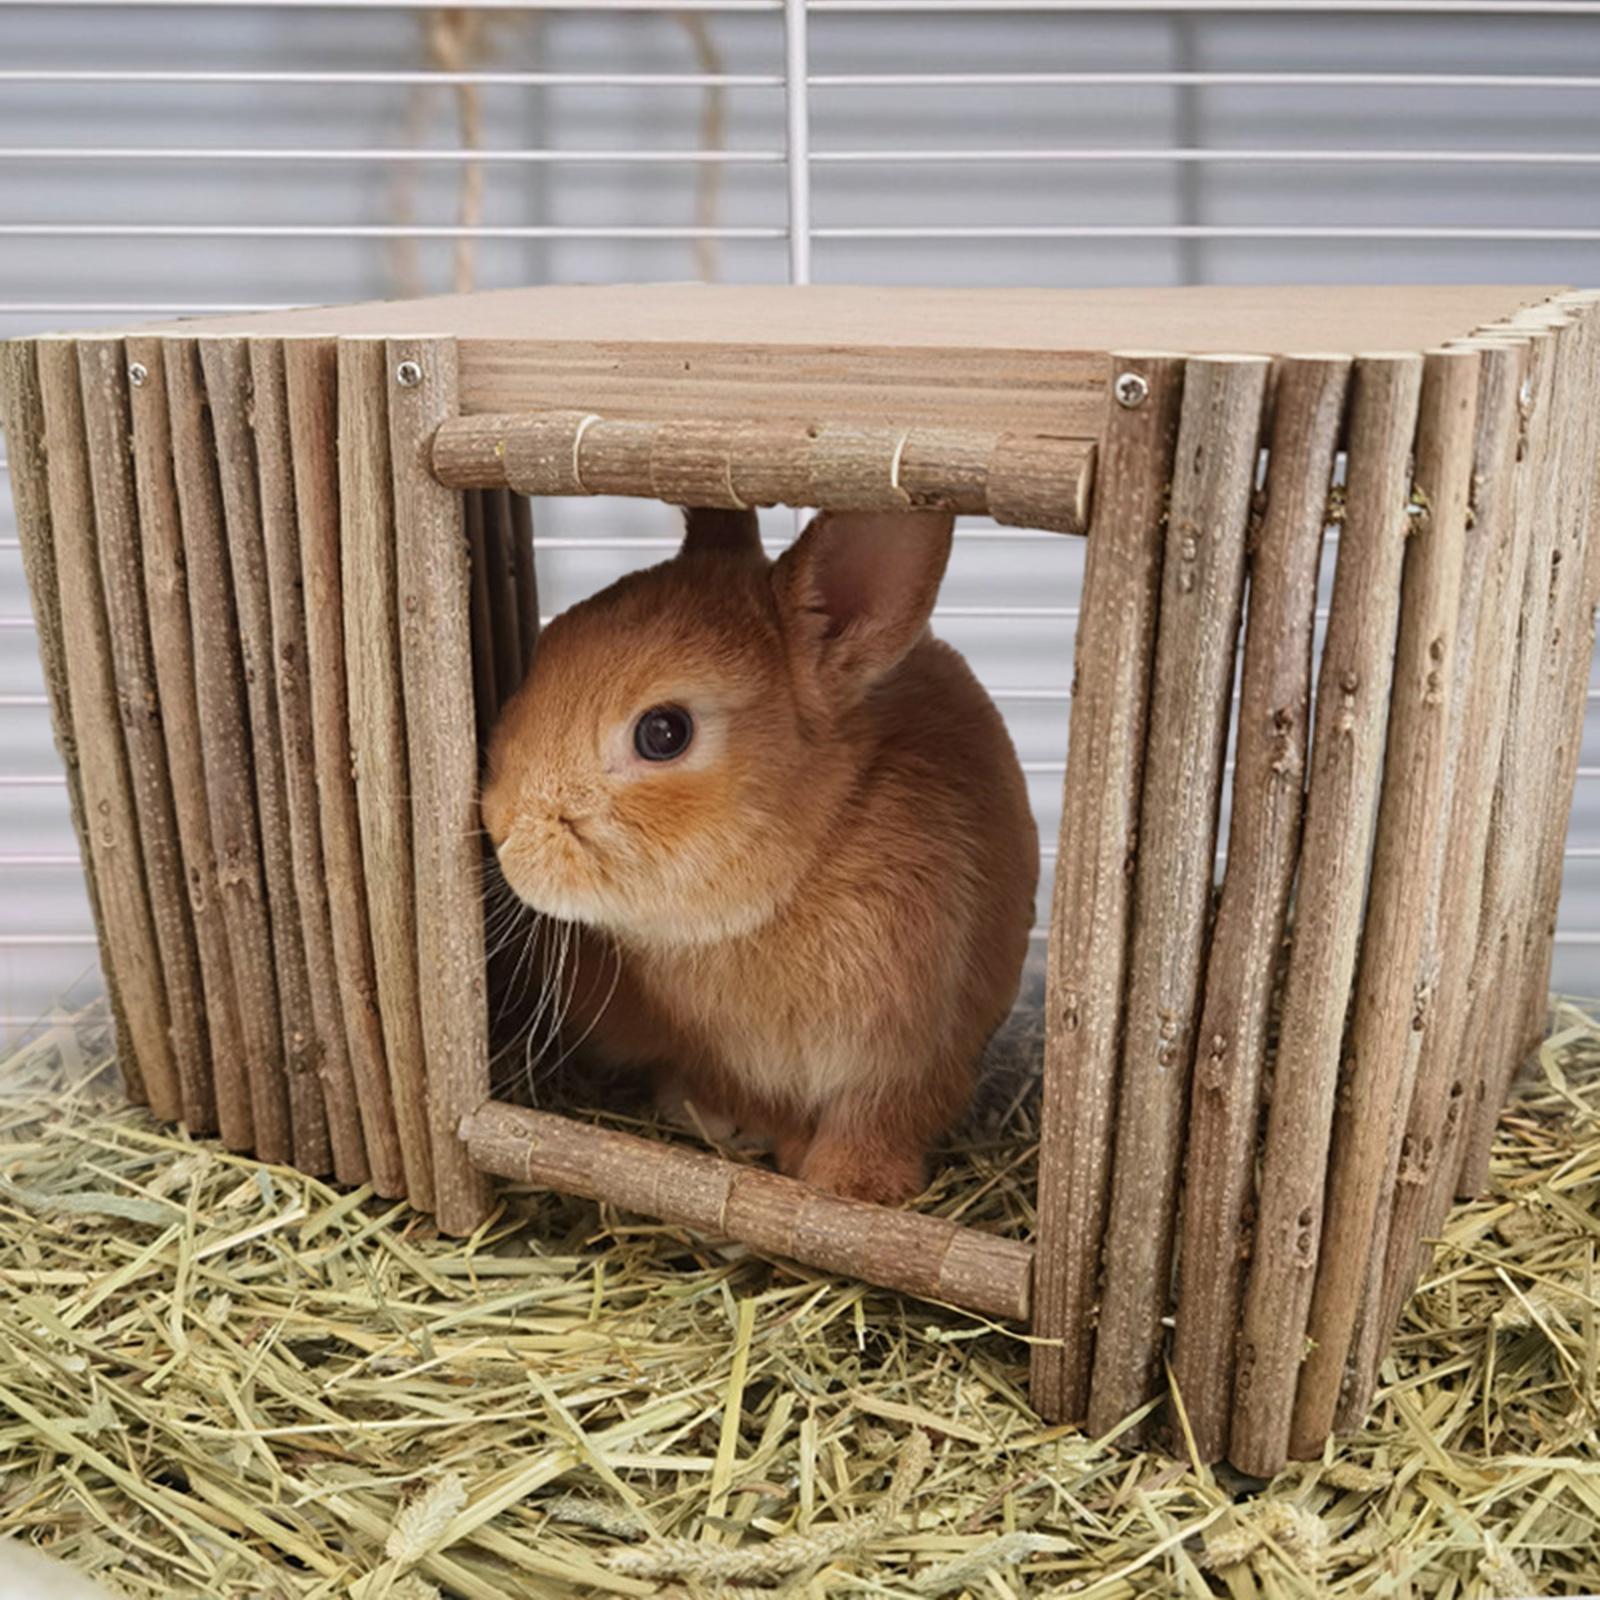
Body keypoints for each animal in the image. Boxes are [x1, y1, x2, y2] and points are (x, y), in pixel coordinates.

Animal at [481, 504, 1038, 1205]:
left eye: (663, 733)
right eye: (547, 645)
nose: (499, 824)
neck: (801, 873)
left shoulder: (919, 1046)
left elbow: (880, 1118)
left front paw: (853, 1187)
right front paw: (770, 1140)